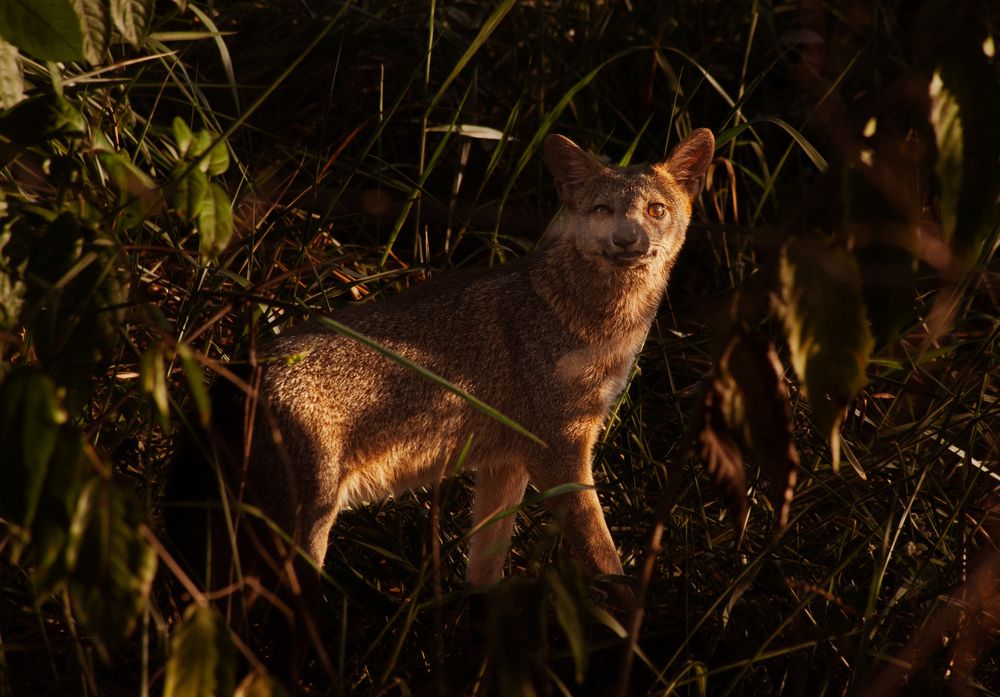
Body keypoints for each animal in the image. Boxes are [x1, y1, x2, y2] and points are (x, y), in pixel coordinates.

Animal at [166, 127, 715, 623]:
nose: (629, 240)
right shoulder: (559, 454)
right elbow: (607, 561)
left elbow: (484, 572)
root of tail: (235, 373)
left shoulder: (507, 463)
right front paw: (638, 628)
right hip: (302, 540)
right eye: (603, 210)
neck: (594, 325)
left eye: (656, 210)